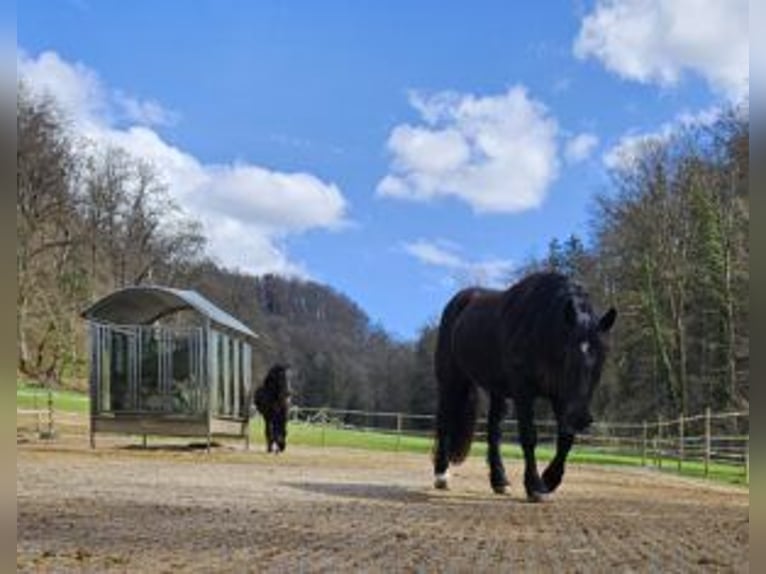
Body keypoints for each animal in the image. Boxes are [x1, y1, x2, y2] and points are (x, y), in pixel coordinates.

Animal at [432, 272, 616, 502]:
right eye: (568, 354)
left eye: (602, 357)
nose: (581, 418)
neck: (539, 327)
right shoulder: (524, 391)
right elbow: (529, 436)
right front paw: (535, 486)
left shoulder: (560, 395)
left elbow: (566, 438)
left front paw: (550, 480)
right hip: (451, 380)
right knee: (444, 421)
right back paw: (441, 475)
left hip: (498, 391)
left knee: (494, 432)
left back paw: (500, 481)